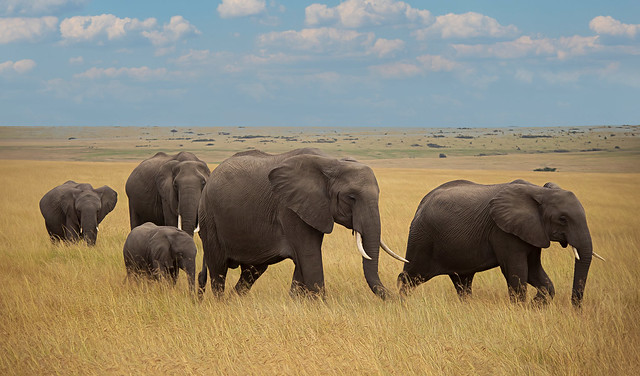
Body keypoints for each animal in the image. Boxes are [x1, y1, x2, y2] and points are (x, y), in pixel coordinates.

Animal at [198, 147, 404, 300]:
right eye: (351, 197)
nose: (400, 290)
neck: (332, 163)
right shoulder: (290, 208)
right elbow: (309, 255)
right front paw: (320, 305)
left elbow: (302, 261)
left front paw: (296, 302)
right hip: (209, 218)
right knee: (218, 270)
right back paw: (221, 303)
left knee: (251, 272)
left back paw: (234, 301)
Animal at [398, 180, 604, 308]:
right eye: (563, 219)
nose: (577, 309)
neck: (540, 191)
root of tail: (422, 202)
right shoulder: (503, 232)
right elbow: (517, 272)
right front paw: (522, 310)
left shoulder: (533, 231)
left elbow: (535, 272)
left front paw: (534, 307)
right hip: (422, 238)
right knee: (411, 277)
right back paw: (402, 304)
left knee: (462, 282)